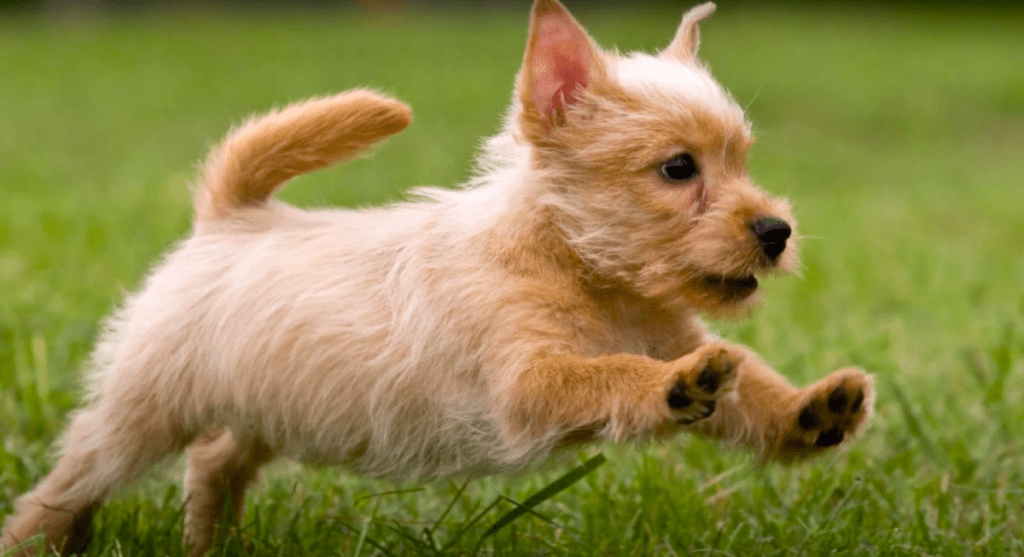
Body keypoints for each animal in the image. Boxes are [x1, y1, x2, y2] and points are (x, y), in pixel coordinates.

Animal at [4, 2, 876, 552]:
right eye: (677, 168)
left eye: (742, 160)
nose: (775, 230)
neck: (586, 272)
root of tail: (229, 215)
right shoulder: (527, 381)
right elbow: (609, 374)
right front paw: (670, 386)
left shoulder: (673, 332)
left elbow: (752, 385)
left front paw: (810, 410)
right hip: (141, 412)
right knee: (72, 477)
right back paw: (38, 539)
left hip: (268, 403)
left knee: (215, 460)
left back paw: (210, 543)